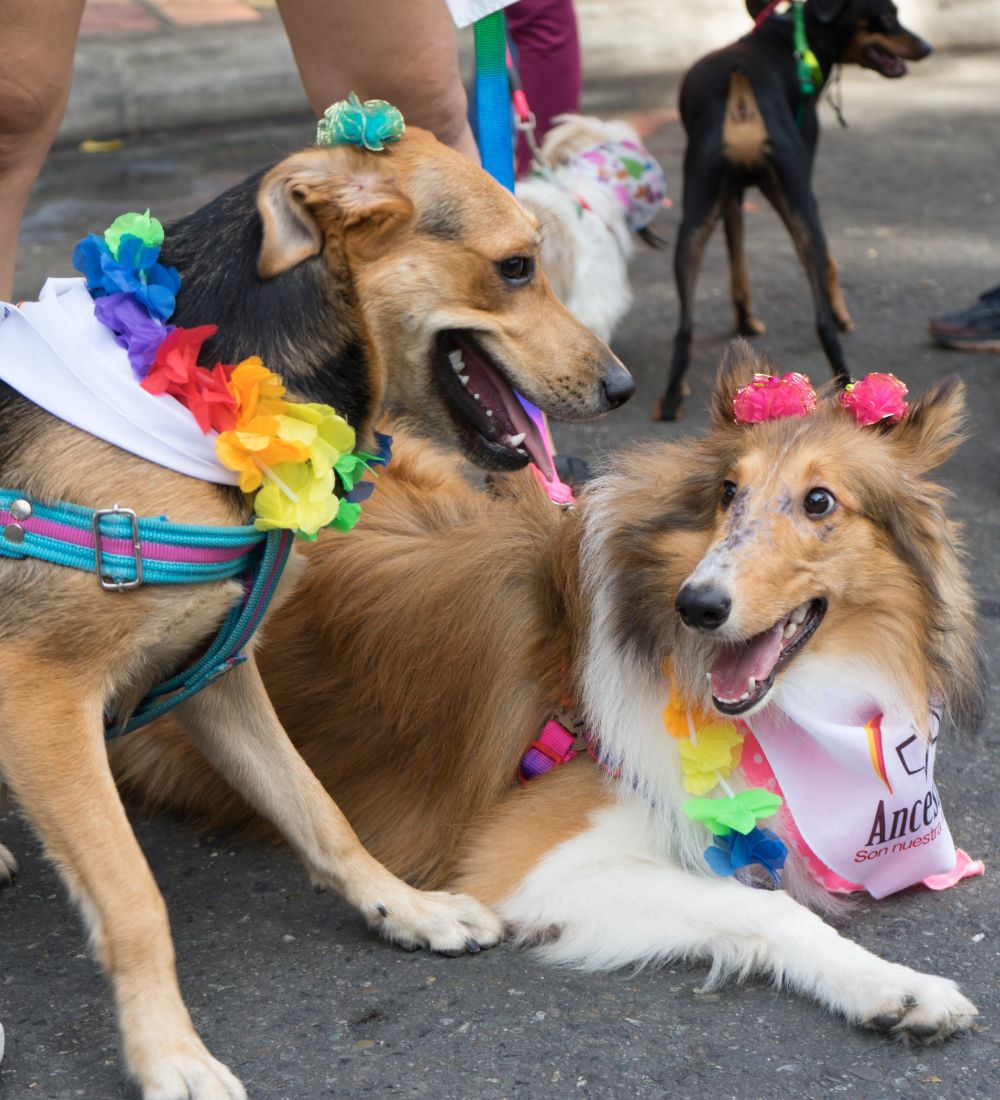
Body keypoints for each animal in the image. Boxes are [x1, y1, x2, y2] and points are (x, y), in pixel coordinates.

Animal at [0, 130, 629, 1100]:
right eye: (517, 267)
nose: (623, 387)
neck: (191, 386)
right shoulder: (38, 698)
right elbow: (134, 896)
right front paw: (169, 1054)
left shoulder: (211, 671)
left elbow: (318, 809)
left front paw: (404, 909)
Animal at [113, 341, 981, 1038]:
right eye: (726, 494)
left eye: (819, 501)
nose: (698, 606)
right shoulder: (528, 861)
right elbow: (764, 905)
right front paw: (896, 988)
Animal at [655, 0, 928, 420]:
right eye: (887, 15)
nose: (927, 48)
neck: (790, 36)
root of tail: (740, 92)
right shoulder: (806, 187)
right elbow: (830, 261)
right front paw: (842, 313)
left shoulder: (731, 196)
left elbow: (737, 259)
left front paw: (745, 319)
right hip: (795, 196)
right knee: (821, 320)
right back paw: (847, 385)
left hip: (695, 214)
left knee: (685, 324)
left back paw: (671, 396)